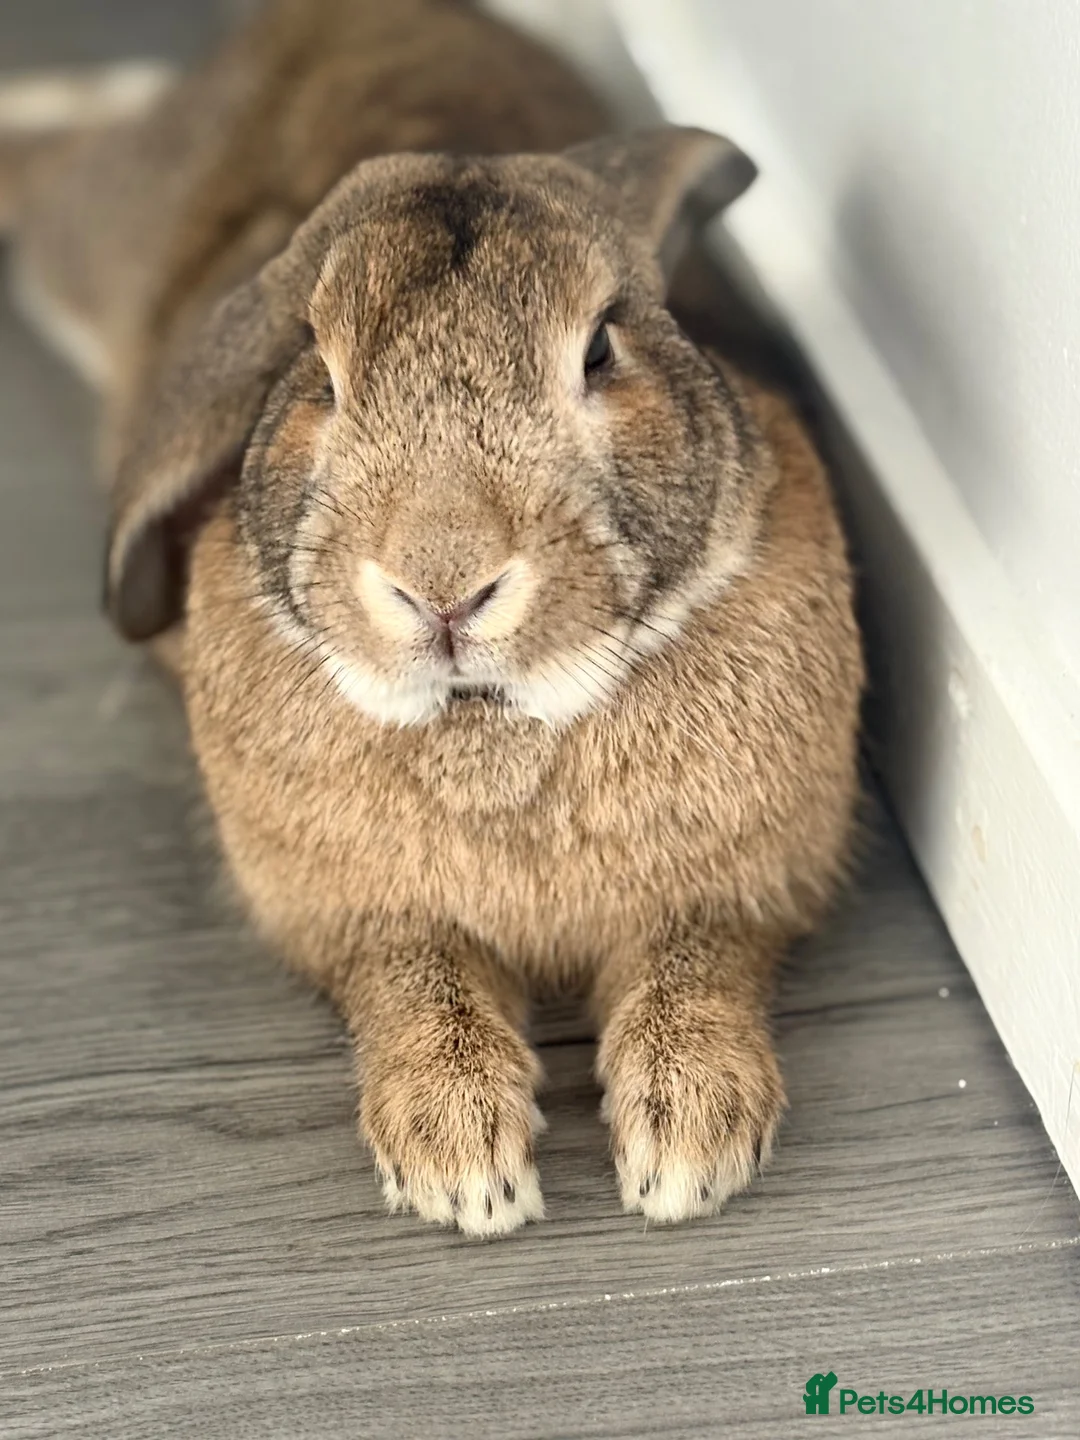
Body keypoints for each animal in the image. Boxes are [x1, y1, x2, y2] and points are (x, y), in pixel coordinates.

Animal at [6, 0, 863, 1236]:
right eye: (317, 375)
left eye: (601, 348)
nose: (443, 583)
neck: (489, 721)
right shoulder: (367, 921)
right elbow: (415, 984)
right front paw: (462, 1167)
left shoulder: (741, 892)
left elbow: (701, 965)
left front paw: (690, 1150)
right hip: (98, 227)